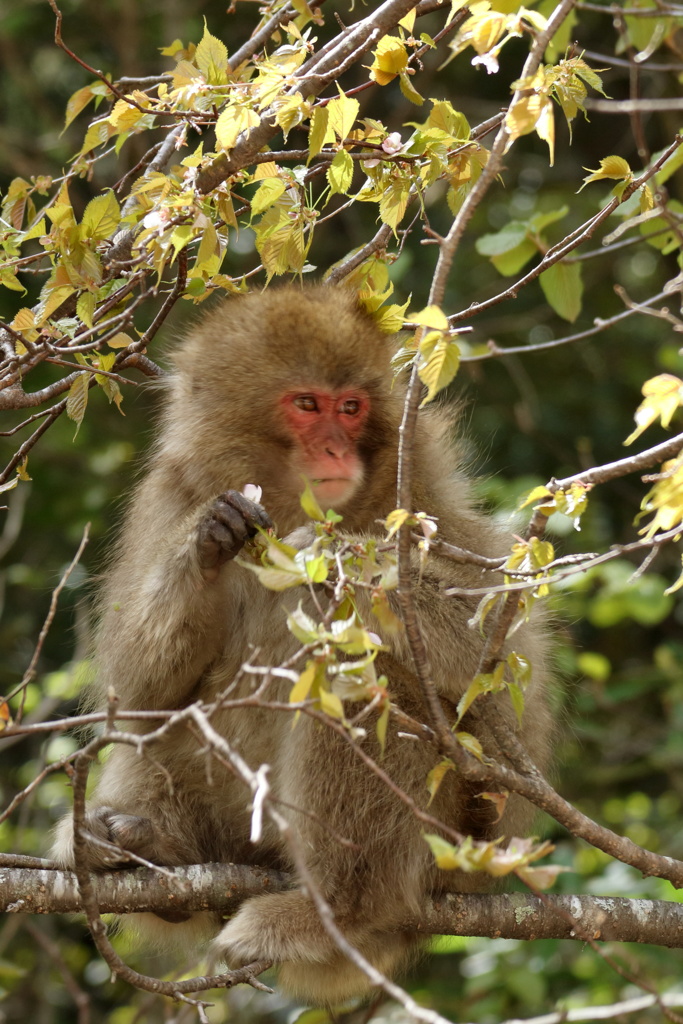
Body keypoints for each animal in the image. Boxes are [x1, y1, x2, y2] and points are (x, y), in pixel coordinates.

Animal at [53, 284, 557, 1003]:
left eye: (351, 407)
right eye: (307, 405)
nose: (336, 450)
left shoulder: (420, 492)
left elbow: (495, 659)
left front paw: (338, 560)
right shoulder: (172, 493)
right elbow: (137, 690)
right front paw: (209, 544)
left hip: (451, 839)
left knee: (358, 667)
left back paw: (334, 912)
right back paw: (138, 846)